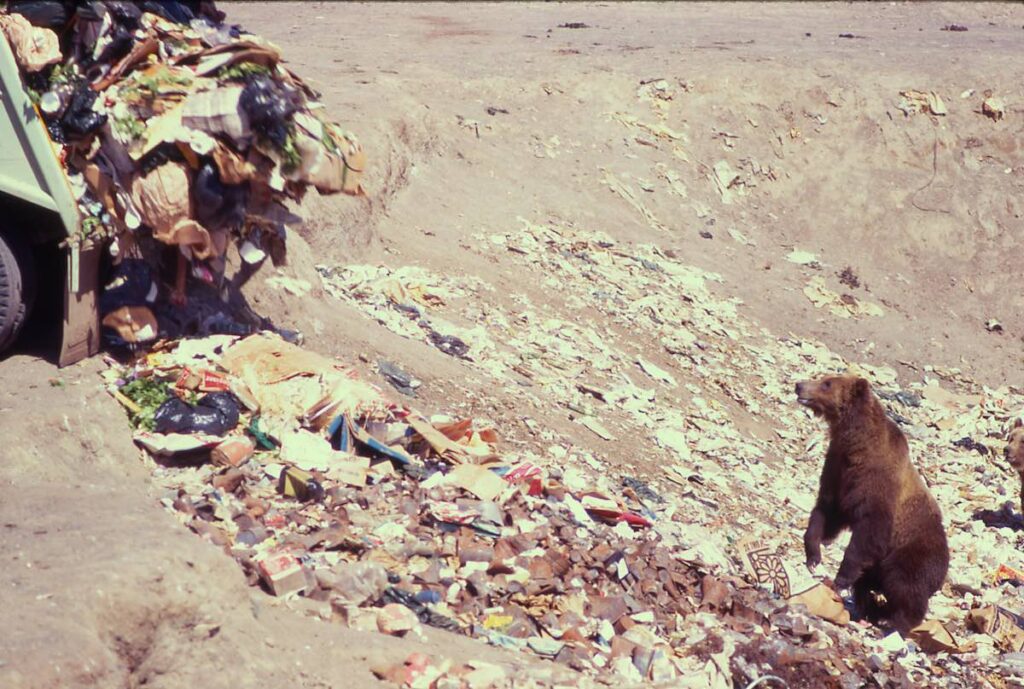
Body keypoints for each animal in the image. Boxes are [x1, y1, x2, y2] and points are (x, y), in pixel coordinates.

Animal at [790, 372, 950, 630]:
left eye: (827, 383)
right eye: (823, 378)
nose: (799, 385)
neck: (856, 444)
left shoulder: (876, 482)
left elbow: (869, 530)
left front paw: (841, 577)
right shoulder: (838, 470)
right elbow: (826, 512)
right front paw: (813, 555)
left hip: (912, 553)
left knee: (904, 584)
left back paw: (895, 622)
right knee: (869, 582)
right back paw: (869, 608)